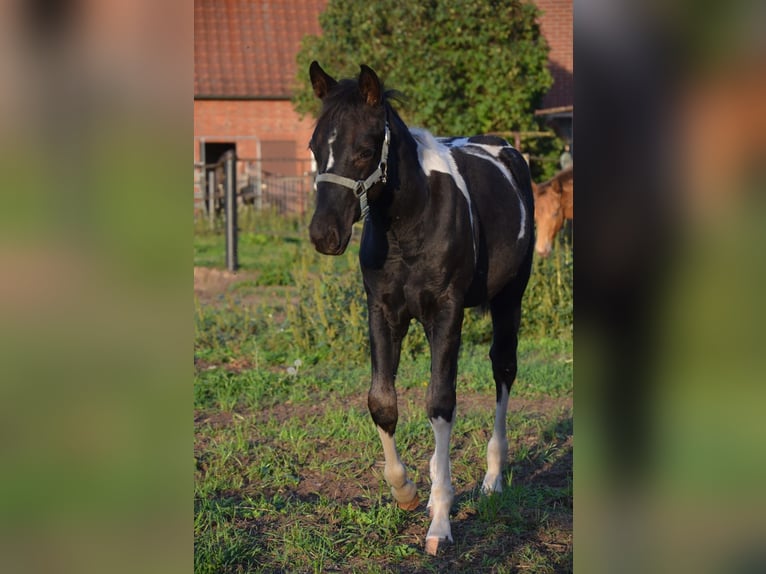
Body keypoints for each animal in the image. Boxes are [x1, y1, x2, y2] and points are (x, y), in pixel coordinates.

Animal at [307, 62, 535, 555]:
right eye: (315, 147)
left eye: (364, 149)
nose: (323, 234)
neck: (411, 222)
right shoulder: (382, 312)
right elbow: (382, 402)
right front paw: (408, 492)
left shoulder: (447, 313)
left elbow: (441, 403)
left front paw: (441, 522)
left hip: (510, 297)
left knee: (503, 370)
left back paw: (492, 478)